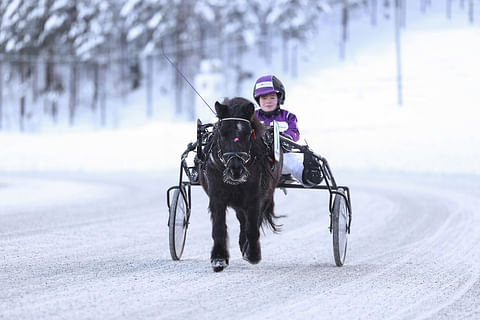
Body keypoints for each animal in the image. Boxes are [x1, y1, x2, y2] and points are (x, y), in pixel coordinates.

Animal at [198, 96, 284, 272]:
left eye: (247, 133)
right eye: (222, 133)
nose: (235, 169)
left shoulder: (255, 198)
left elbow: (252, 227)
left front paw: (253, 254)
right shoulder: (217, 196)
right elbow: (218, 227)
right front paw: (219, 258)